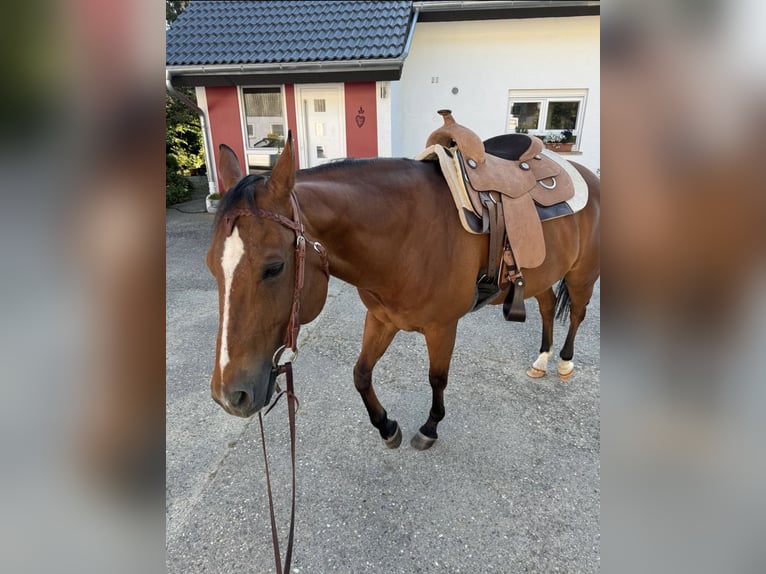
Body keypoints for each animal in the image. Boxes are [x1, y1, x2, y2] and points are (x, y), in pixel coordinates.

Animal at [205, 134, 600, 450]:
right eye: (211, 265)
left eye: (274, 267)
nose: (230, 396)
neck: (408, 234)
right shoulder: (382, 318)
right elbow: (361, 373)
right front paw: (386, 426)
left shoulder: (442, 327)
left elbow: (437, 378)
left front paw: (429, 428)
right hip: (543, 275)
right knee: (548, 306)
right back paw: (541, 360)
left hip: (581, 274)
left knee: (577, 313)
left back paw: (564, 361)